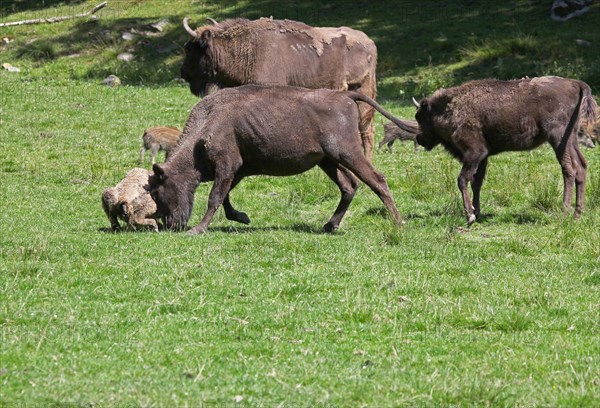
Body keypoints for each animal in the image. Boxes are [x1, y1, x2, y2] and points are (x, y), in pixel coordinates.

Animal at [146, 84, 420, 234]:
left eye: (157, 193)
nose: (170, 224)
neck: (206, 123)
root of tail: (346, 96)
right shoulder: (237, 170)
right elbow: (225, 198)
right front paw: (242, 217)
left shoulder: (227, 165)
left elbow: (215, 198)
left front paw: (198, 229)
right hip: (327, 161)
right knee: (349, 186)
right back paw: (329, 225)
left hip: (346, 153)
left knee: (377, 180)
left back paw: (398, 223)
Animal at [178, 17, 378, 161]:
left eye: (189, 49)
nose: (183, 72)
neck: (245, 49)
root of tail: (369, 41)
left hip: (362, 93)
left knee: (366, 131)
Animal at [414, 75, 596, 225]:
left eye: (420, 117)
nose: (419, 138)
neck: (451, 107)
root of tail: (576, 83)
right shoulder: (483, 158)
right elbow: (476, 182)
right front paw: (476, 212)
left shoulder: (475, 153)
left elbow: (463, 179)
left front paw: (469, 216)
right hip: (571, 139)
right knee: (581, 166)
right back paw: (577, 214)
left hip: (558, 138)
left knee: (569, 169)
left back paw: (564, 213)